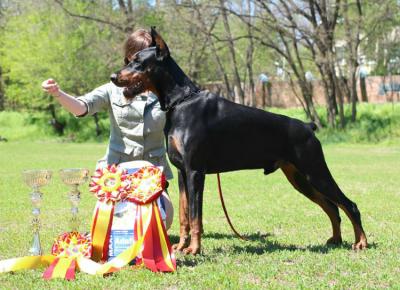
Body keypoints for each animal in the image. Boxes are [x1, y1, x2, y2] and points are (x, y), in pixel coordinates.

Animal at [110, 27, 368, 254]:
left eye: (137, 61)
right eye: (129, 60)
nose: (113, 76)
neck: (181, 102)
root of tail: (307, 126)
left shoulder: (195, 172)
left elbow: (195, 216)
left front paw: (194, 249)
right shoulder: (183, 173)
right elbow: (185, 215)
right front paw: (181, 246)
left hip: (314, 170)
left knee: (349, 205)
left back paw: (361, 242)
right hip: (300, 178)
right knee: (332, 207)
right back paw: (336, 239)